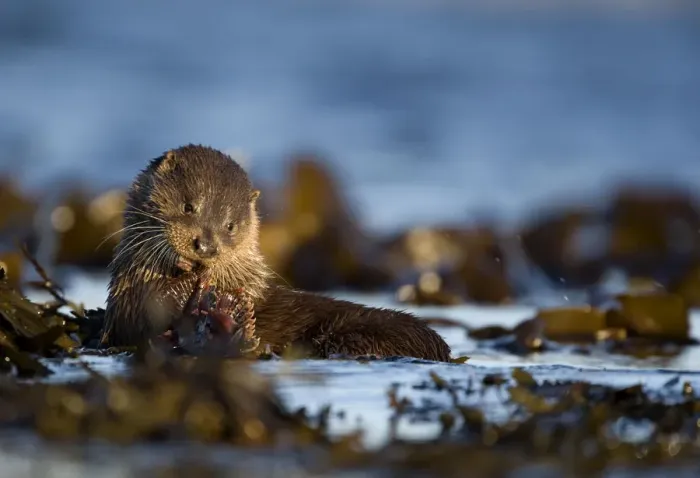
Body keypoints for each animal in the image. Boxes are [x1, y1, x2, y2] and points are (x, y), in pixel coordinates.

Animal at [102, 144, 451, 362]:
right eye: (189, 207)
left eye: (230, 225)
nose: (206, 246)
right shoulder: (129, 299)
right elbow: (149, 309)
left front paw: (227, 300)